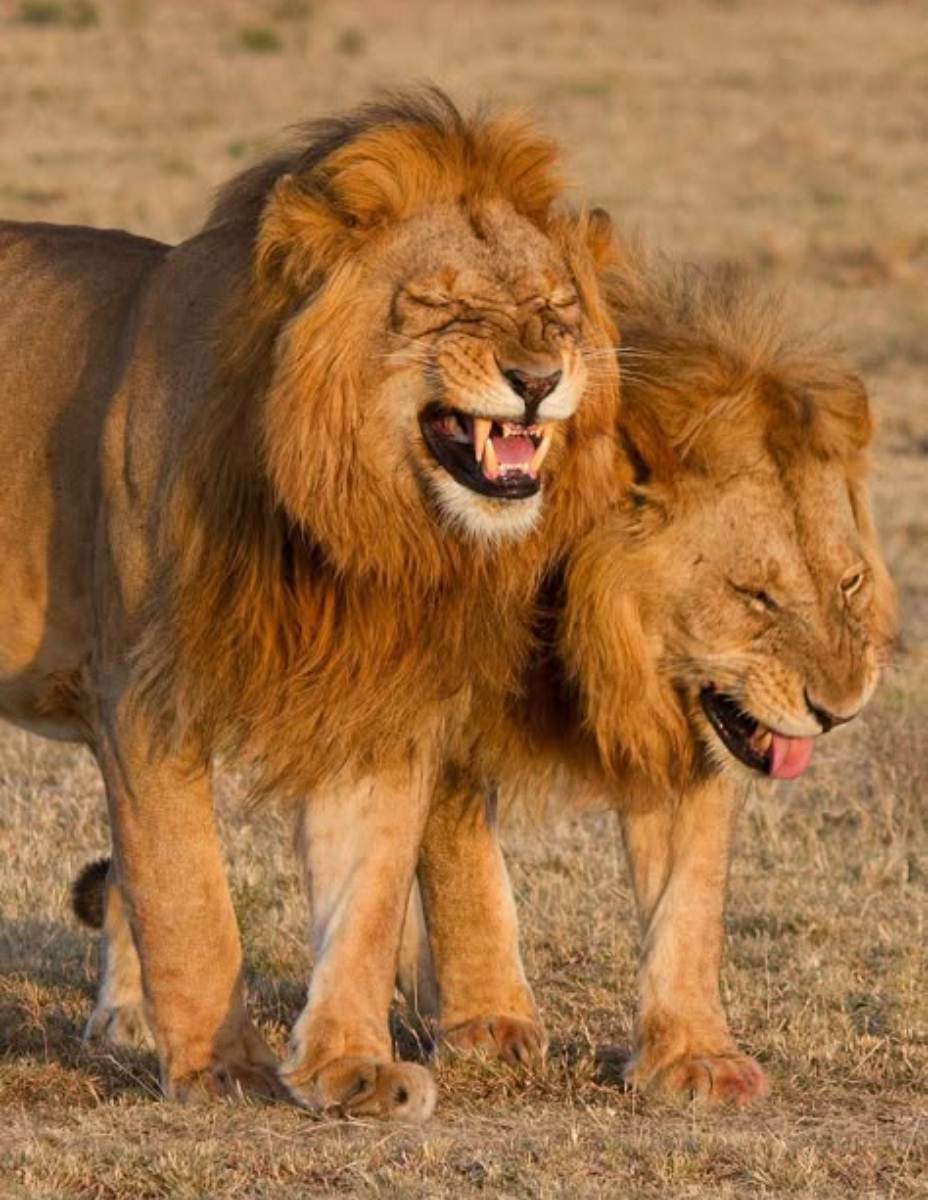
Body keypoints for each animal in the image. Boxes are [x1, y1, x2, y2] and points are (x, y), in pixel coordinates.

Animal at [1, 88, 622, 1119]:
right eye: (443, 305)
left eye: (555, 310)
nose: (537, 381)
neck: (355, 524)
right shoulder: (141, 697)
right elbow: (190, 894)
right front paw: (223, 1071)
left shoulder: (373, 703)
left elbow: (362, 902)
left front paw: (351, 1067)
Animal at [398, 256, 898, 1103]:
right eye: (756, 596)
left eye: (851, 582)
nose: (839, 711)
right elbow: (461, 861)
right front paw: (486, 1025)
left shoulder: (691, 728)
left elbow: (689, 897)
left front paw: (695, 1056)